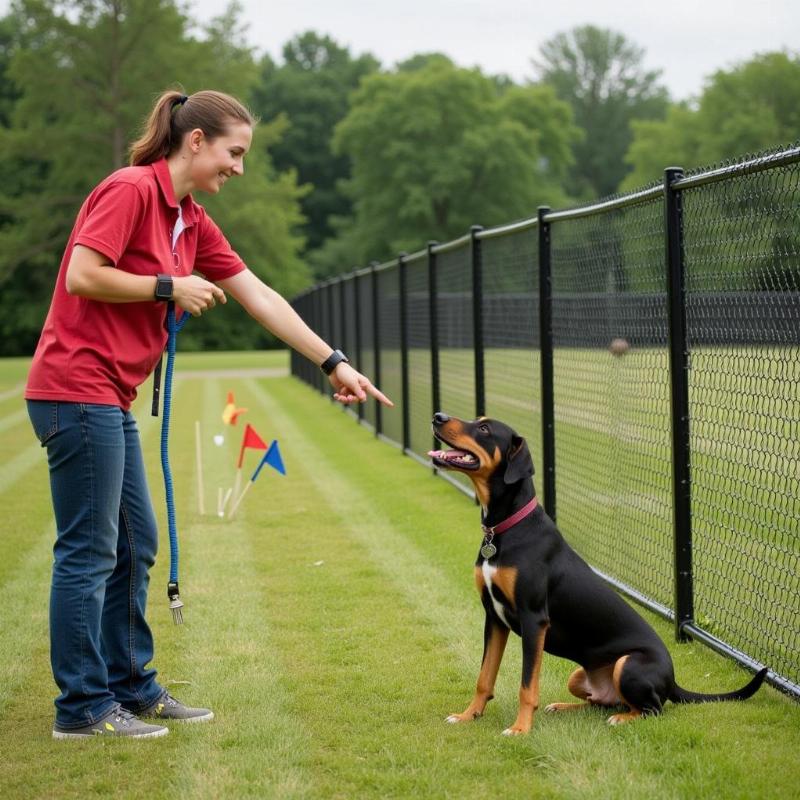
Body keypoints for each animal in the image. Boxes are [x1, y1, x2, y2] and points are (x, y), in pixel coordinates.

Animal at [428, 416, 764, 736]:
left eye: (484, 428)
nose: (438, 416)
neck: (504, 529)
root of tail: (673, 678)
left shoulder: (533, 618)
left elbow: (527, 685)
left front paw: (520, 728)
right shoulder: (494, 617)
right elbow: (484, 677)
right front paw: (468, 716)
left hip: (628, 665)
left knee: (652, 709)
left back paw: (621, 719)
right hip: (577, 676)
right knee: (598, 702)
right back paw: (563, 707)